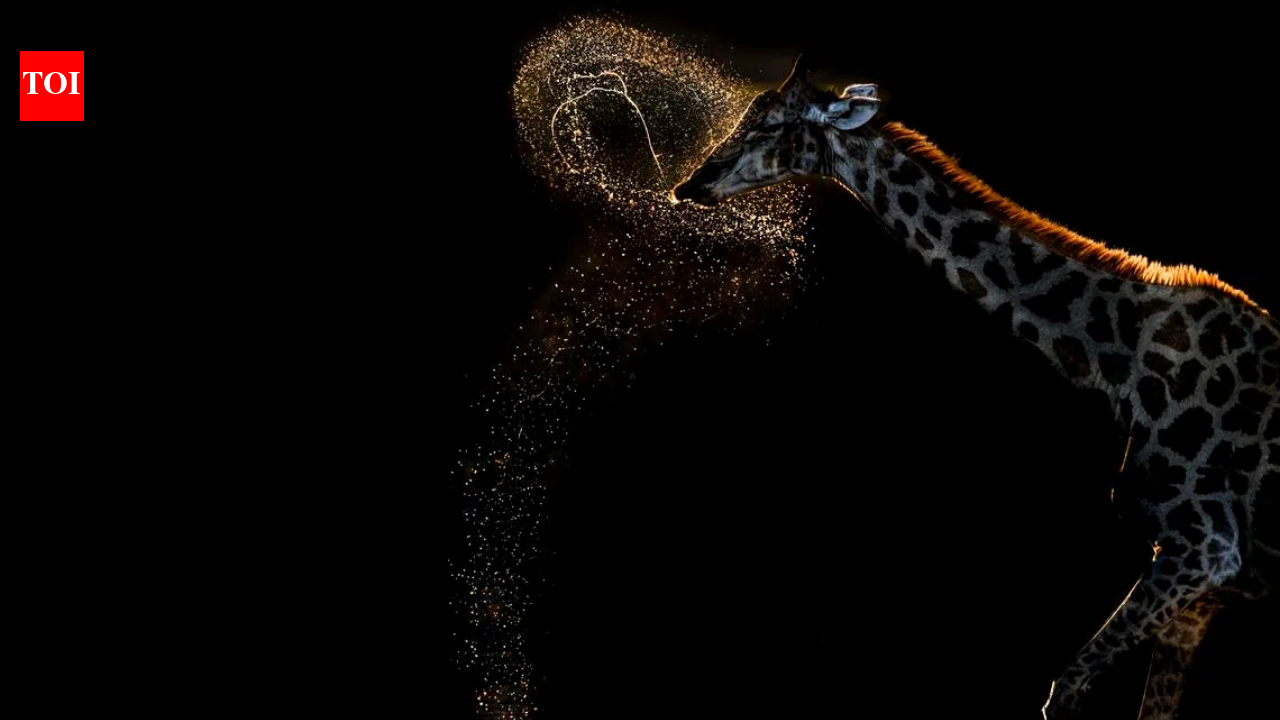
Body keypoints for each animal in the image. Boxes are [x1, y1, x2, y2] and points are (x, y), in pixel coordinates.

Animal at [673, 57, 1279, 719]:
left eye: (769, 125)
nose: (689, 184)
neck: (1119, 364)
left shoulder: (1206, 549)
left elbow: (1064, 690)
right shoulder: (1201, 577)